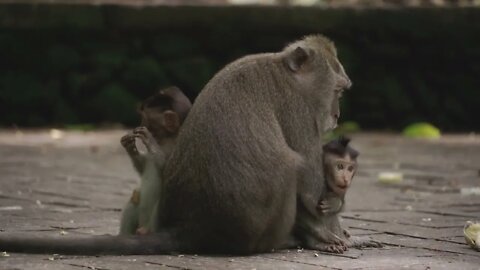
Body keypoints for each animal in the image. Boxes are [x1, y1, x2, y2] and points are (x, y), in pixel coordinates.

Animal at [0, 34, 352, 255]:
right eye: (338, 90)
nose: (337, 115)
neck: (287, 73)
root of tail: (193, 226)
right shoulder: (300, 111)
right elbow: (310, 191)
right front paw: (325, 236)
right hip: (258, 226)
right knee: (290, 167)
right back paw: (284, 241)